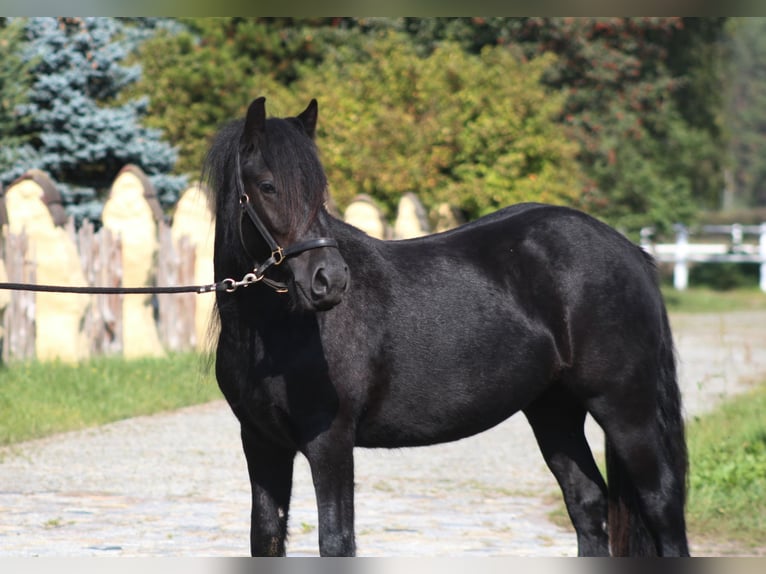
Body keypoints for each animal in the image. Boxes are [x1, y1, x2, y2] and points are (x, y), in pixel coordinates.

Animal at [202, 96, 689, 557]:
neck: (274, 332)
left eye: (319, 190)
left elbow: (336, 542)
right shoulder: (262, 443)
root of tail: (630, 251)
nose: (330, 280)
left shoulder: (330, 442)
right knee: (587, 502)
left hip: (626, 410)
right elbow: (265, 538)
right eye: (267, 186)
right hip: (554, 410)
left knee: (662, 504)